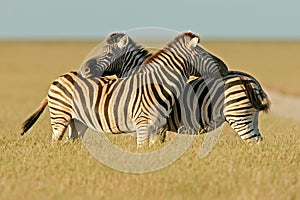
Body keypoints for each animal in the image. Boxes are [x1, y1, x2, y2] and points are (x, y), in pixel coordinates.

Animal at [21, 31, 227, 147]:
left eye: (109, 52)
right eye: (204, 54)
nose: (224, 67)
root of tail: (58, 78)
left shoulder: (157, 127)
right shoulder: (145, 125)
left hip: (76, 120)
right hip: (61, 116)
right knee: (55, 141)